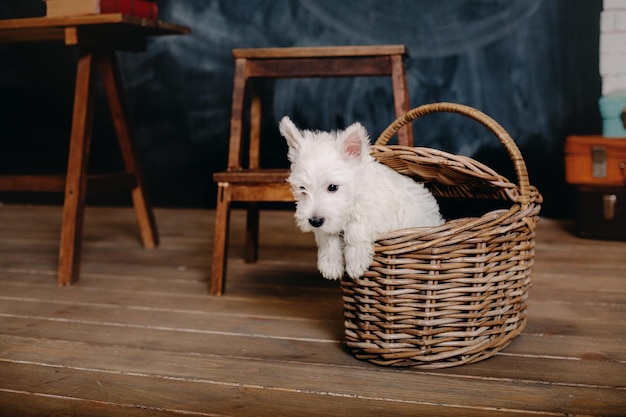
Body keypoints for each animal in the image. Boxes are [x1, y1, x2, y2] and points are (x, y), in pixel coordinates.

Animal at [278, 117, 444, 280]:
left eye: (333, 187)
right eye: (302, 188)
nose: (315, 221)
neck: (353, 196)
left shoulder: (374, 212)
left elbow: (356, 227)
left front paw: (356, 262)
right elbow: (327, 236)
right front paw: (330, 265)